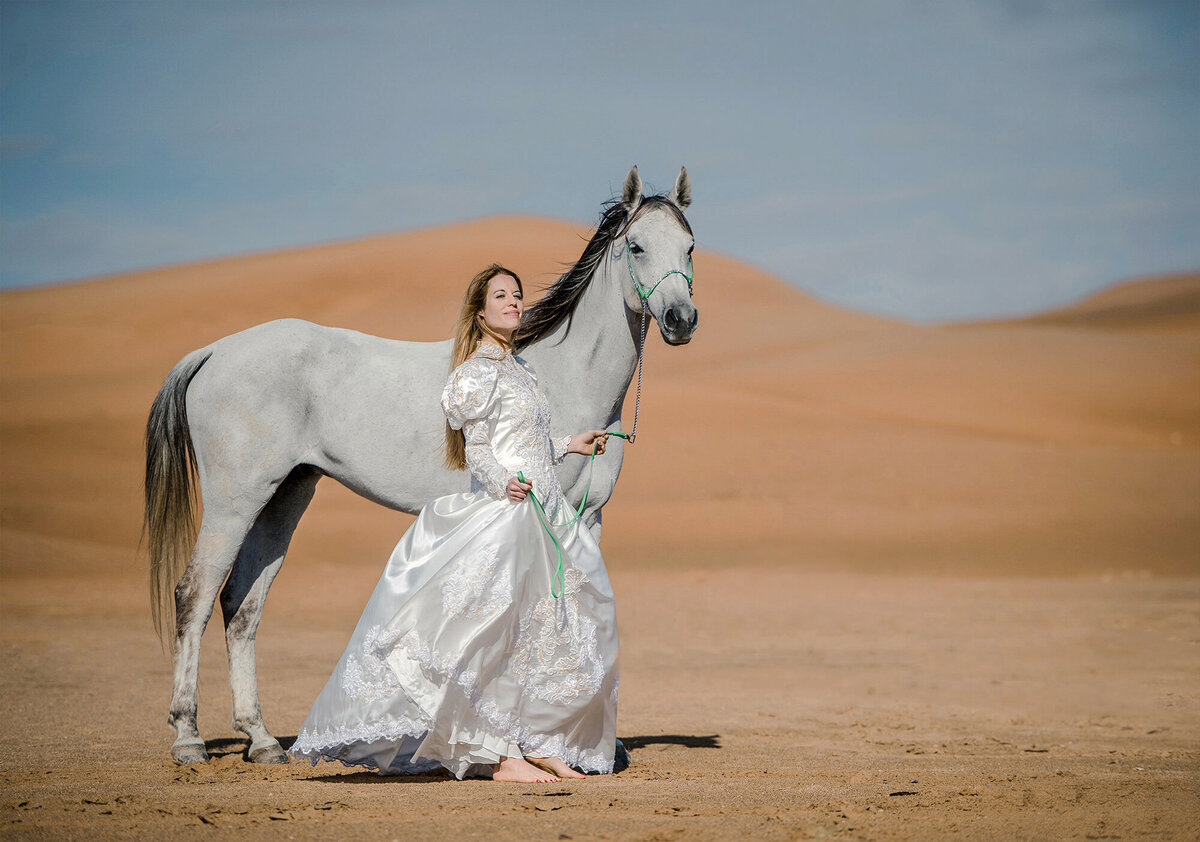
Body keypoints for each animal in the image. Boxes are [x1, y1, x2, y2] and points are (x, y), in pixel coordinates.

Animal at [145, 165, 700, 767]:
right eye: (637, 246)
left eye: (690, 246)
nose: (681, 320)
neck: (564, 375)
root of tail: (215, 352)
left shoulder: (588, 517)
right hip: (234, 502)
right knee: (195, 596)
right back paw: (188, 738)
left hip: (284, 498)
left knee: (241, 604)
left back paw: (263, 741)